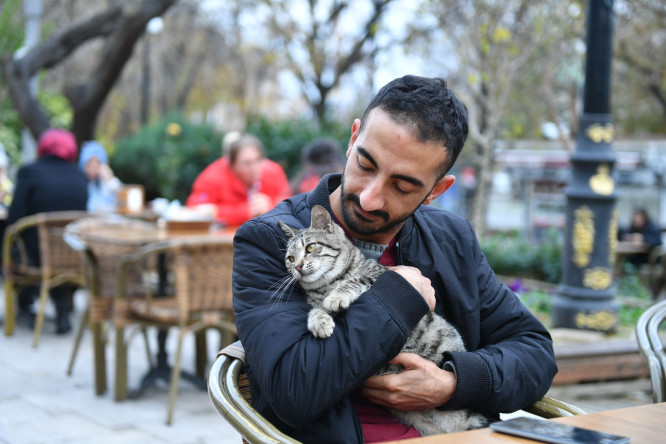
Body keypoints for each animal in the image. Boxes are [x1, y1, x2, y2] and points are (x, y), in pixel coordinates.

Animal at [276, 206, 488, 436]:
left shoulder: (374, 278)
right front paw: (319, 321)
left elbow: (353, 281)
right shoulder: (317, 302)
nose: (297, 267)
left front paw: (336, 296)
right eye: (290, 258)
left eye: (311, 247)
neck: (325, 285)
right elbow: (315, 310)